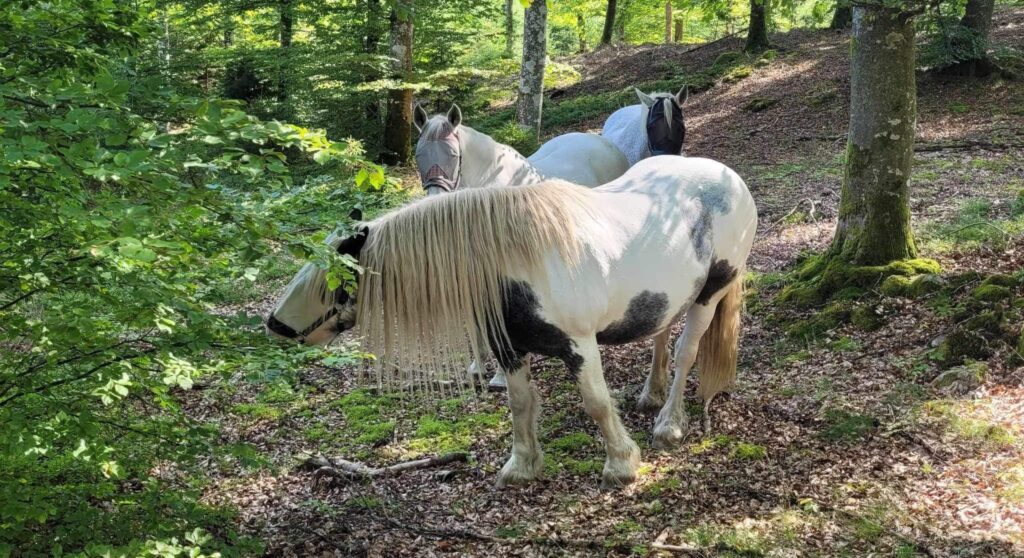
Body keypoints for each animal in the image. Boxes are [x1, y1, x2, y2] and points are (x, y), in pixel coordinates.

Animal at [268, 155, 757, 487]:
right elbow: (520, 404)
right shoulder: (509, 349)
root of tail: (728, 178)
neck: (514, 264)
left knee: (685, 354)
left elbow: (596, 403)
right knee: (660, 337)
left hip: (709, 296)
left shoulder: (580, 346)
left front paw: (621, 463)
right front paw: (522, 467)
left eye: (333, 277)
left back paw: (669, 424)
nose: (275, 326)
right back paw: (651, 395)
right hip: (667, 298)